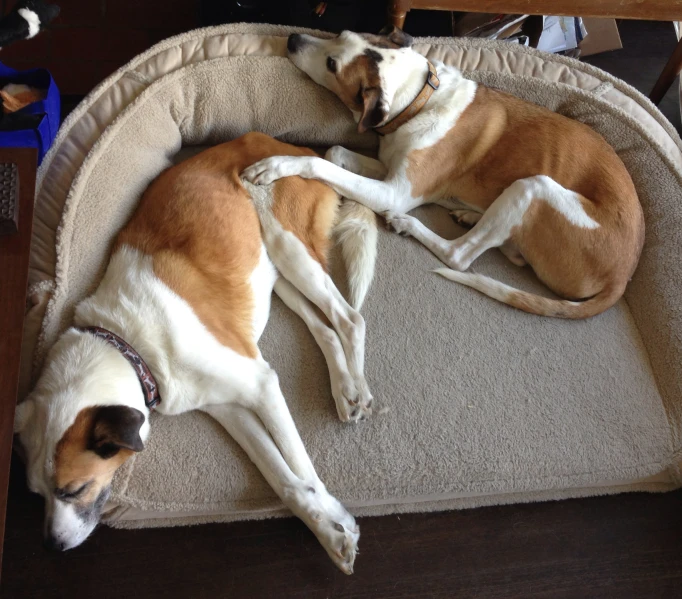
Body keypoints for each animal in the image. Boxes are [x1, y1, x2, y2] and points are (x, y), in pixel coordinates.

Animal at [14, 132, 378, 576]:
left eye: (73, 489)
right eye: (36, 493)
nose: (51, 546)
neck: (130, 344)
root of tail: (296, 147)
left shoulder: (262, 386)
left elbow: (301, 466)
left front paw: (336, 522)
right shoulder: (229, 408)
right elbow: (286, 480)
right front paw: (326, 527)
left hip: (286, 244)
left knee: (349, 318)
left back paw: (358, 387)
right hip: (272, 274)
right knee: (324, 328)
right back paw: (345, 390)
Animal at [243, 27, 644, 318]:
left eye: (331, 64)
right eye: (339, 33)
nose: (292, 39)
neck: (420, 98)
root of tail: (622, 277)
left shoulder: (394, 192)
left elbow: (318, 162)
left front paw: (277, 165)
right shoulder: (388, 168)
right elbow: (335, 152)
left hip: (535, 186)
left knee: (459, 256)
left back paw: (410, 224)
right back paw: (471, 216)